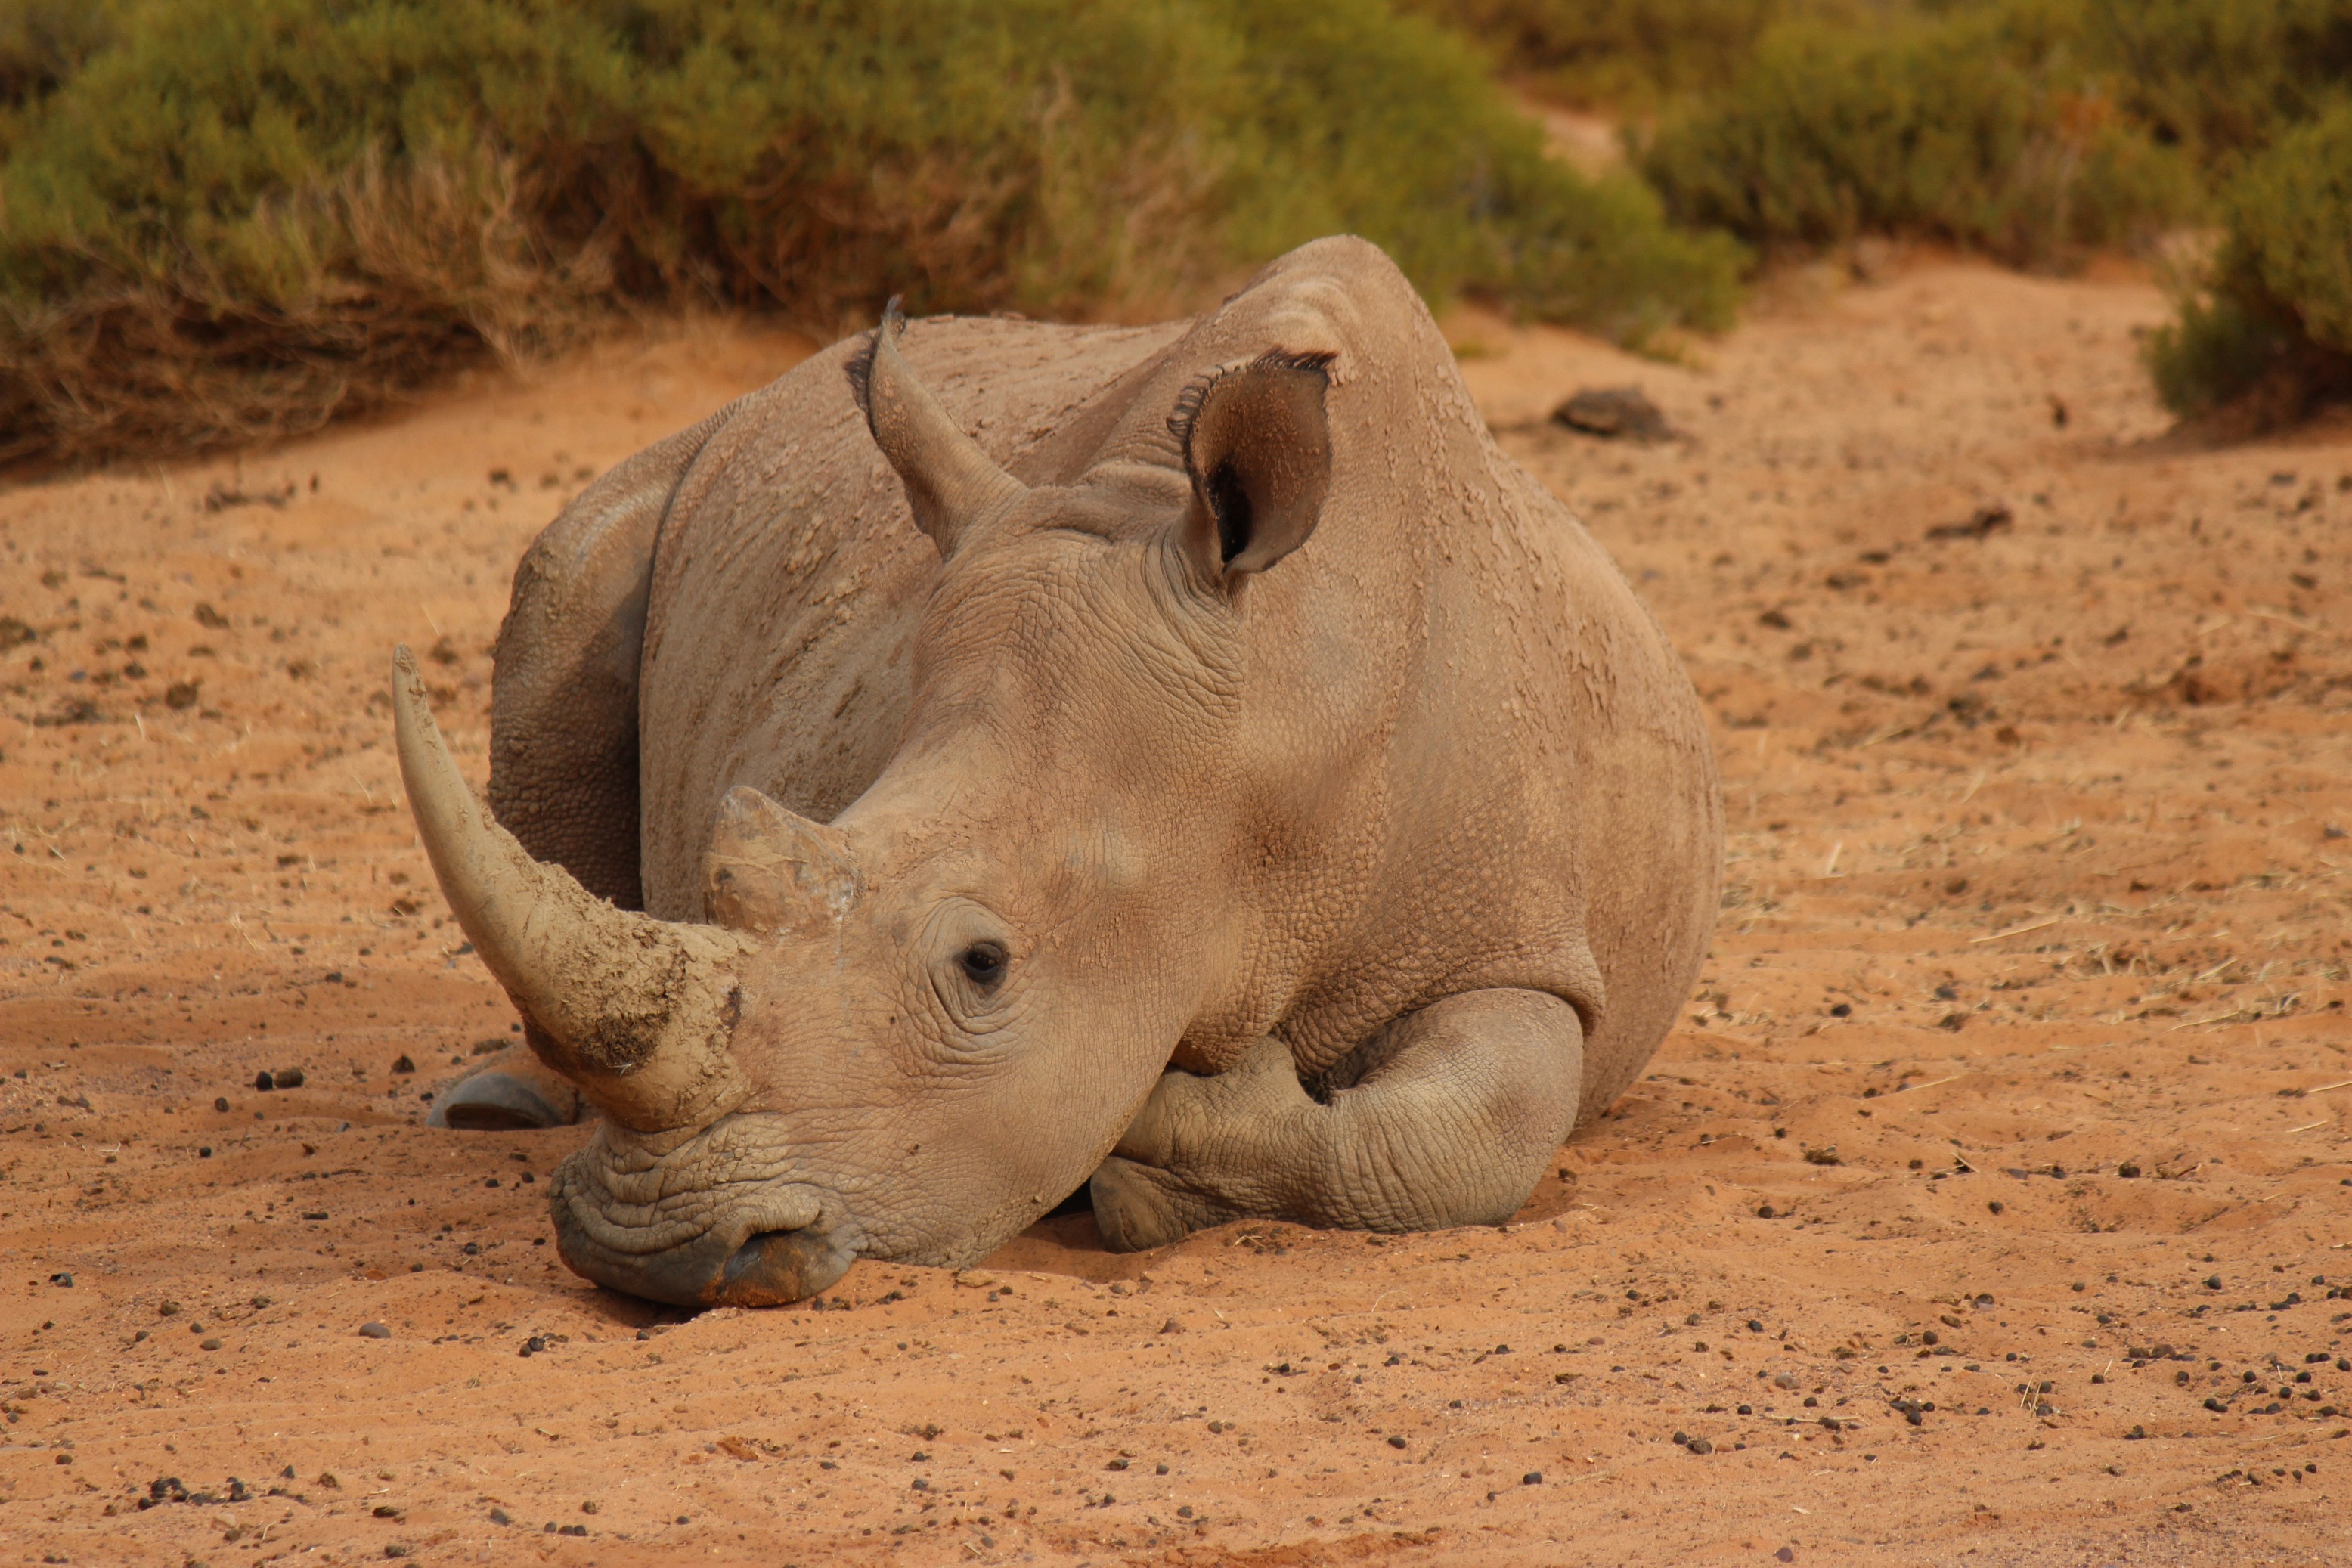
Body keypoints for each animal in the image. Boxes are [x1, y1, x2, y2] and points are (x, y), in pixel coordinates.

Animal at [394, 236, 1721, 1309]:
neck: (1286, 693)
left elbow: (1473, 1136)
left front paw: (1157, 1151)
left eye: (981, 965)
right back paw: (494, 1108)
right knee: (570, 570)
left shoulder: (1516, 937)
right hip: (682, 468)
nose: (648, 1251)